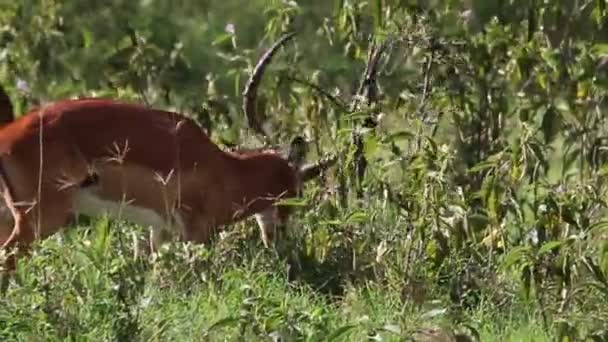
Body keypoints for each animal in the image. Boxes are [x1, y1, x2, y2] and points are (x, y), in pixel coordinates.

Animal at [0, 33, 338, 272]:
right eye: (296, 191)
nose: (278, 237)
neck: (226, 170)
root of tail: (7, 137)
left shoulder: (160, 232)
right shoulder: (196, 233)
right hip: (40, 219)